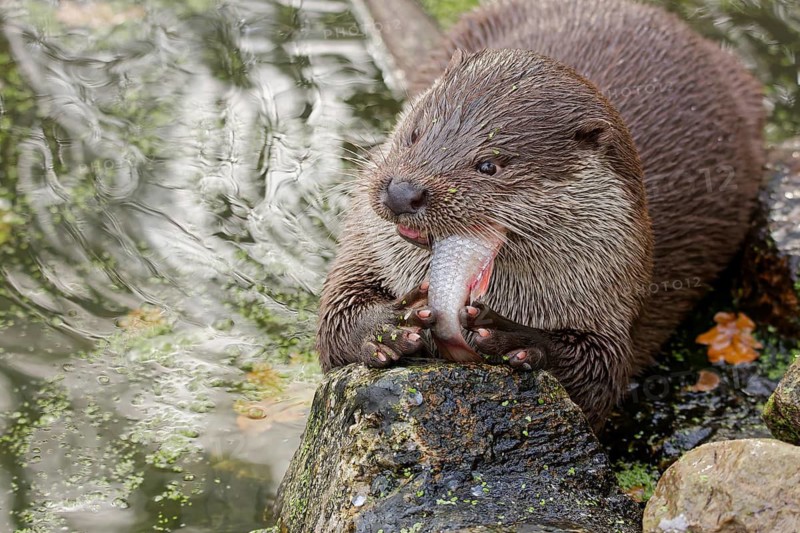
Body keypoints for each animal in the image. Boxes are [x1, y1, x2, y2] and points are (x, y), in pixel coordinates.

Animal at [316, 0, 764, 430]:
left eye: (489, 165)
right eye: (415, 134)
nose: (402, 192)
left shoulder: (616, 301)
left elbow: (601, 375)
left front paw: (518, 339)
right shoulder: (365, 248)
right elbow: (333, 320)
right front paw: (386, 326)